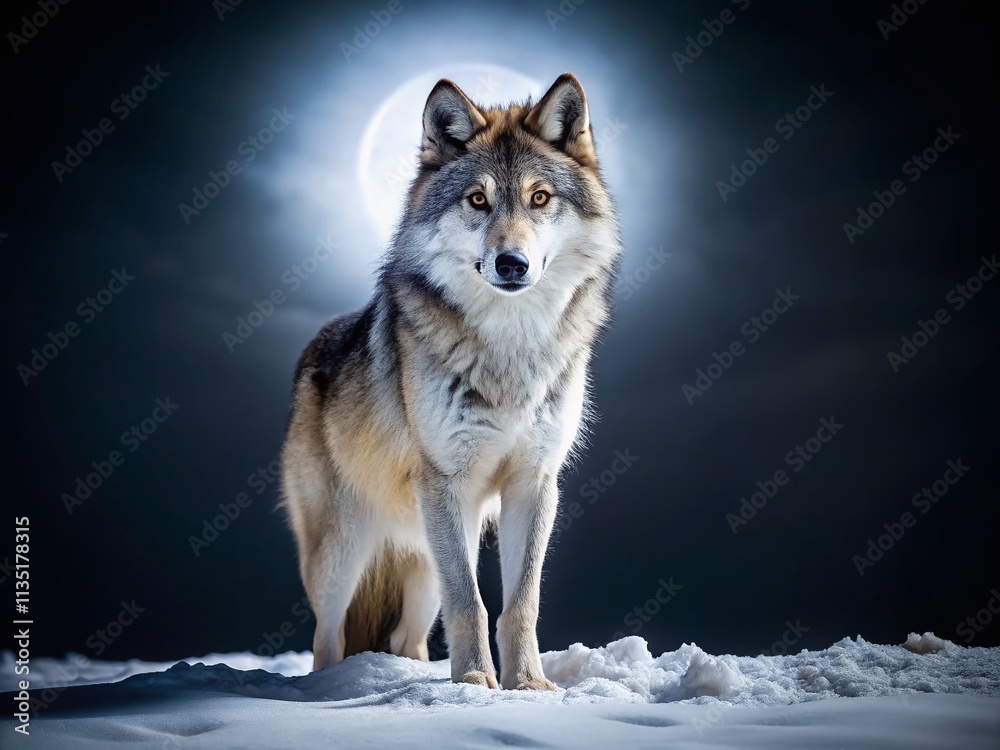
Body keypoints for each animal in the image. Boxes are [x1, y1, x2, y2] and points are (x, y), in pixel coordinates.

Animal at [281, 73, 621, 689]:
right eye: (478, 200)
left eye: (539, 198)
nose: (511, 263)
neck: (510, 350)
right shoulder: (446, 483)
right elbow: (471, 600)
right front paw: (475, 683)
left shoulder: (534, 482)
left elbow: (520, 602)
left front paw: (527, 685)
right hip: (344, 554)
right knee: (327, 639)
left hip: (419, 565)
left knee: (405, 640)